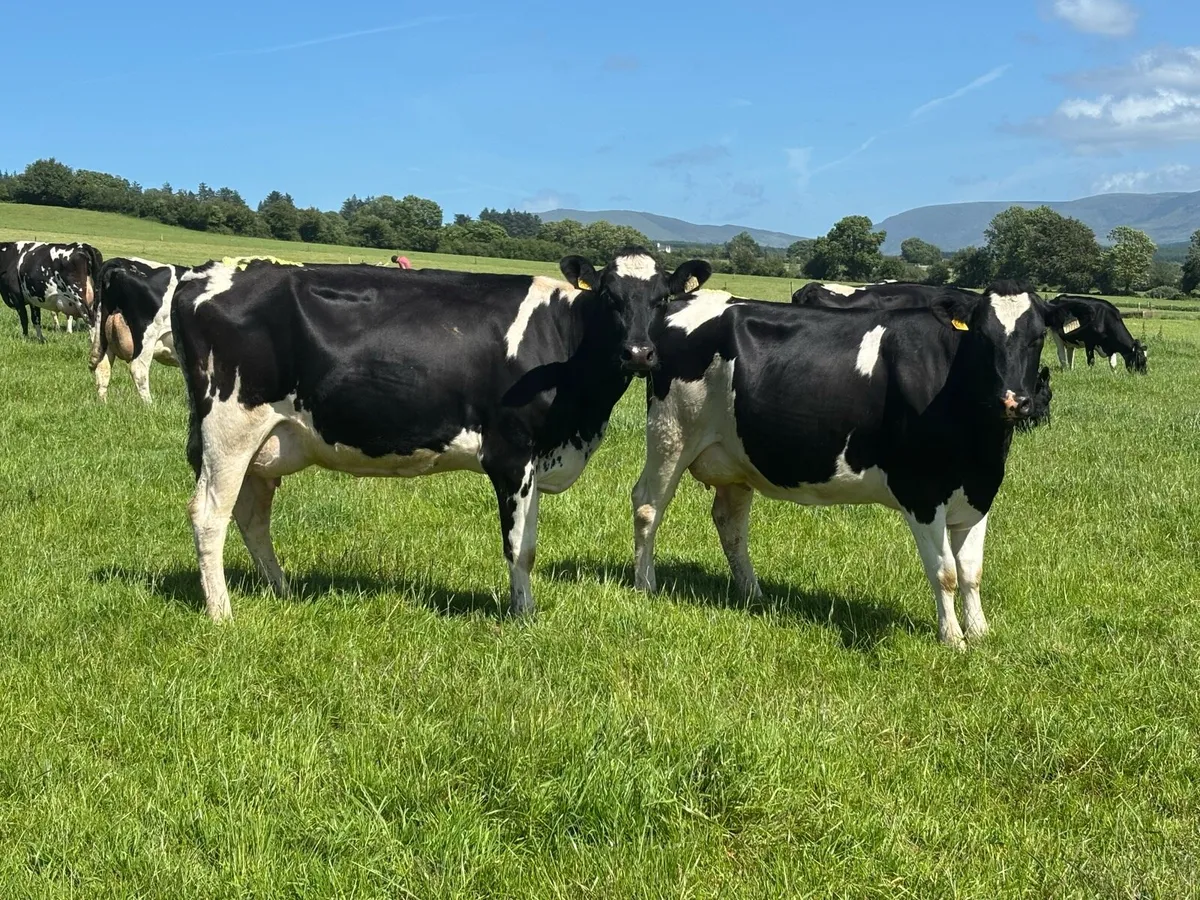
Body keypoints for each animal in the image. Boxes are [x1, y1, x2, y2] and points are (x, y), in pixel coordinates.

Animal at [90, 257, 187, 403]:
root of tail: (122, 261)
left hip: (104, 334)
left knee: (103, 367)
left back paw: (103, 403)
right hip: (147, 335)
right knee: (138, 369)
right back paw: (149, 404)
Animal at [170, 249, 712, 622]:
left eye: (662, 299)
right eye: (608, 296)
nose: (639, 353)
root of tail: (204, 273)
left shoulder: (535, 458)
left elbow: (529, 539)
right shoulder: (511, 452)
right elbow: (520, 547)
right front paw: (524, 616)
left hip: (265, 442)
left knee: (251, 515)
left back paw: (281, 589)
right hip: (230, 427)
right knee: (209, 514)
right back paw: (222, 613)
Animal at [631, 280, 1070, 649]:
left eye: (1037, 338)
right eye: (981, 336)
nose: (1013, 401)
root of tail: (685, 301)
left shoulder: (979, 493)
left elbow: (971, 572)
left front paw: (979, 632)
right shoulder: (922, 494)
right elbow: (944, 572)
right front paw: (953, 639)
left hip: (736, 457)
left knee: (730, 524)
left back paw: (753, 594)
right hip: (671, 433)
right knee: (648, 505)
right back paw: (645, 584)